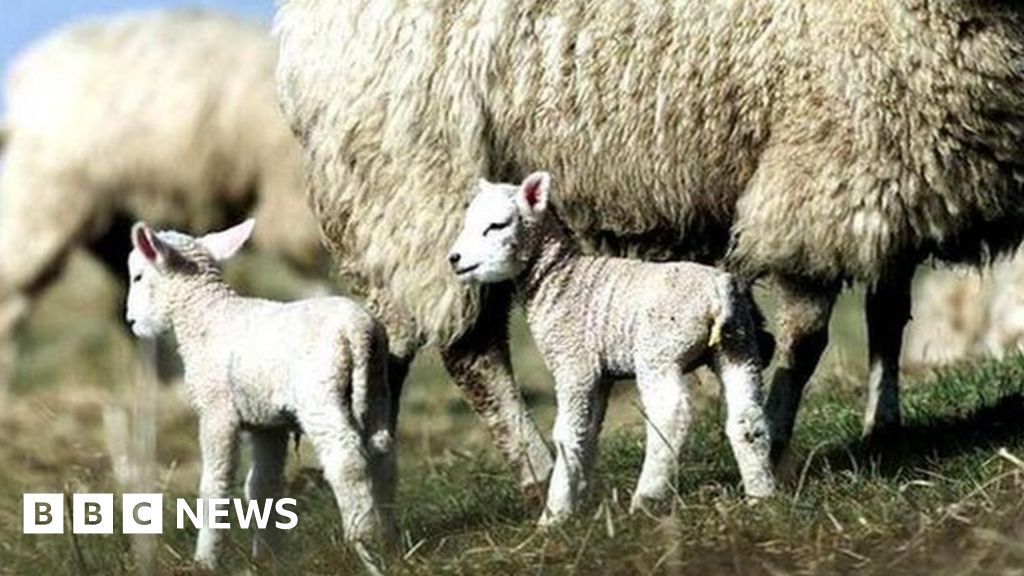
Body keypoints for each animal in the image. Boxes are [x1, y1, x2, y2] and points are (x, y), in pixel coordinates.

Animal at [0, 9, 322, 405]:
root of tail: (26, 74)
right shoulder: (287, 190)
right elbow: (313, 267)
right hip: (47, 193)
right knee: (12, 293)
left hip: (110, 217)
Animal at [124, 219, 396, 569]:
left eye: (138, 276)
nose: (131, 321)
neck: (207, 317)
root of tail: (358, 331)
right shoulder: (267, 423)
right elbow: (262, 486)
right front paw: (266, 557)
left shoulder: (217, 411)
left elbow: (215, 484)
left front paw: (205, 560)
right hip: (377, 385)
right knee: (382, 451)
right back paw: (389, 539)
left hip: (321, 395)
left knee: (346, 460)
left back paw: (363, 544)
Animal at [276, 0, 1024, 470]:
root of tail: (296, 31)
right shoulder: (822, 167)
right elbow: (807, 337)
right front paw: (774, 438)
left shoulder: (895, 168)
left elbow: (888, 315)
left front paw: (882, 427)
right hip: (416, 187)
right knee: (468, 352)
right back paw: (532, 470)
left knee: (404, 346)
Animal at [448, 173, 775, 522]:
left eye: (497, 225)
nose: (454, 259)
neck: (560, 280)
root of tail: (718, 292)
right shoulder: (599, 374)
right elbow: (587, 434)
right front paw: (579, 498)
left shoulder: (573, 362)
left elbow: (566, 434)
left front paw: (554, 516)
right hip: (738, 346)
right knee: (747, 418)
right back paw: (762, 496)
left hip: (659, 351)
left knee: (670, 414)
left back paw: (646, 498)